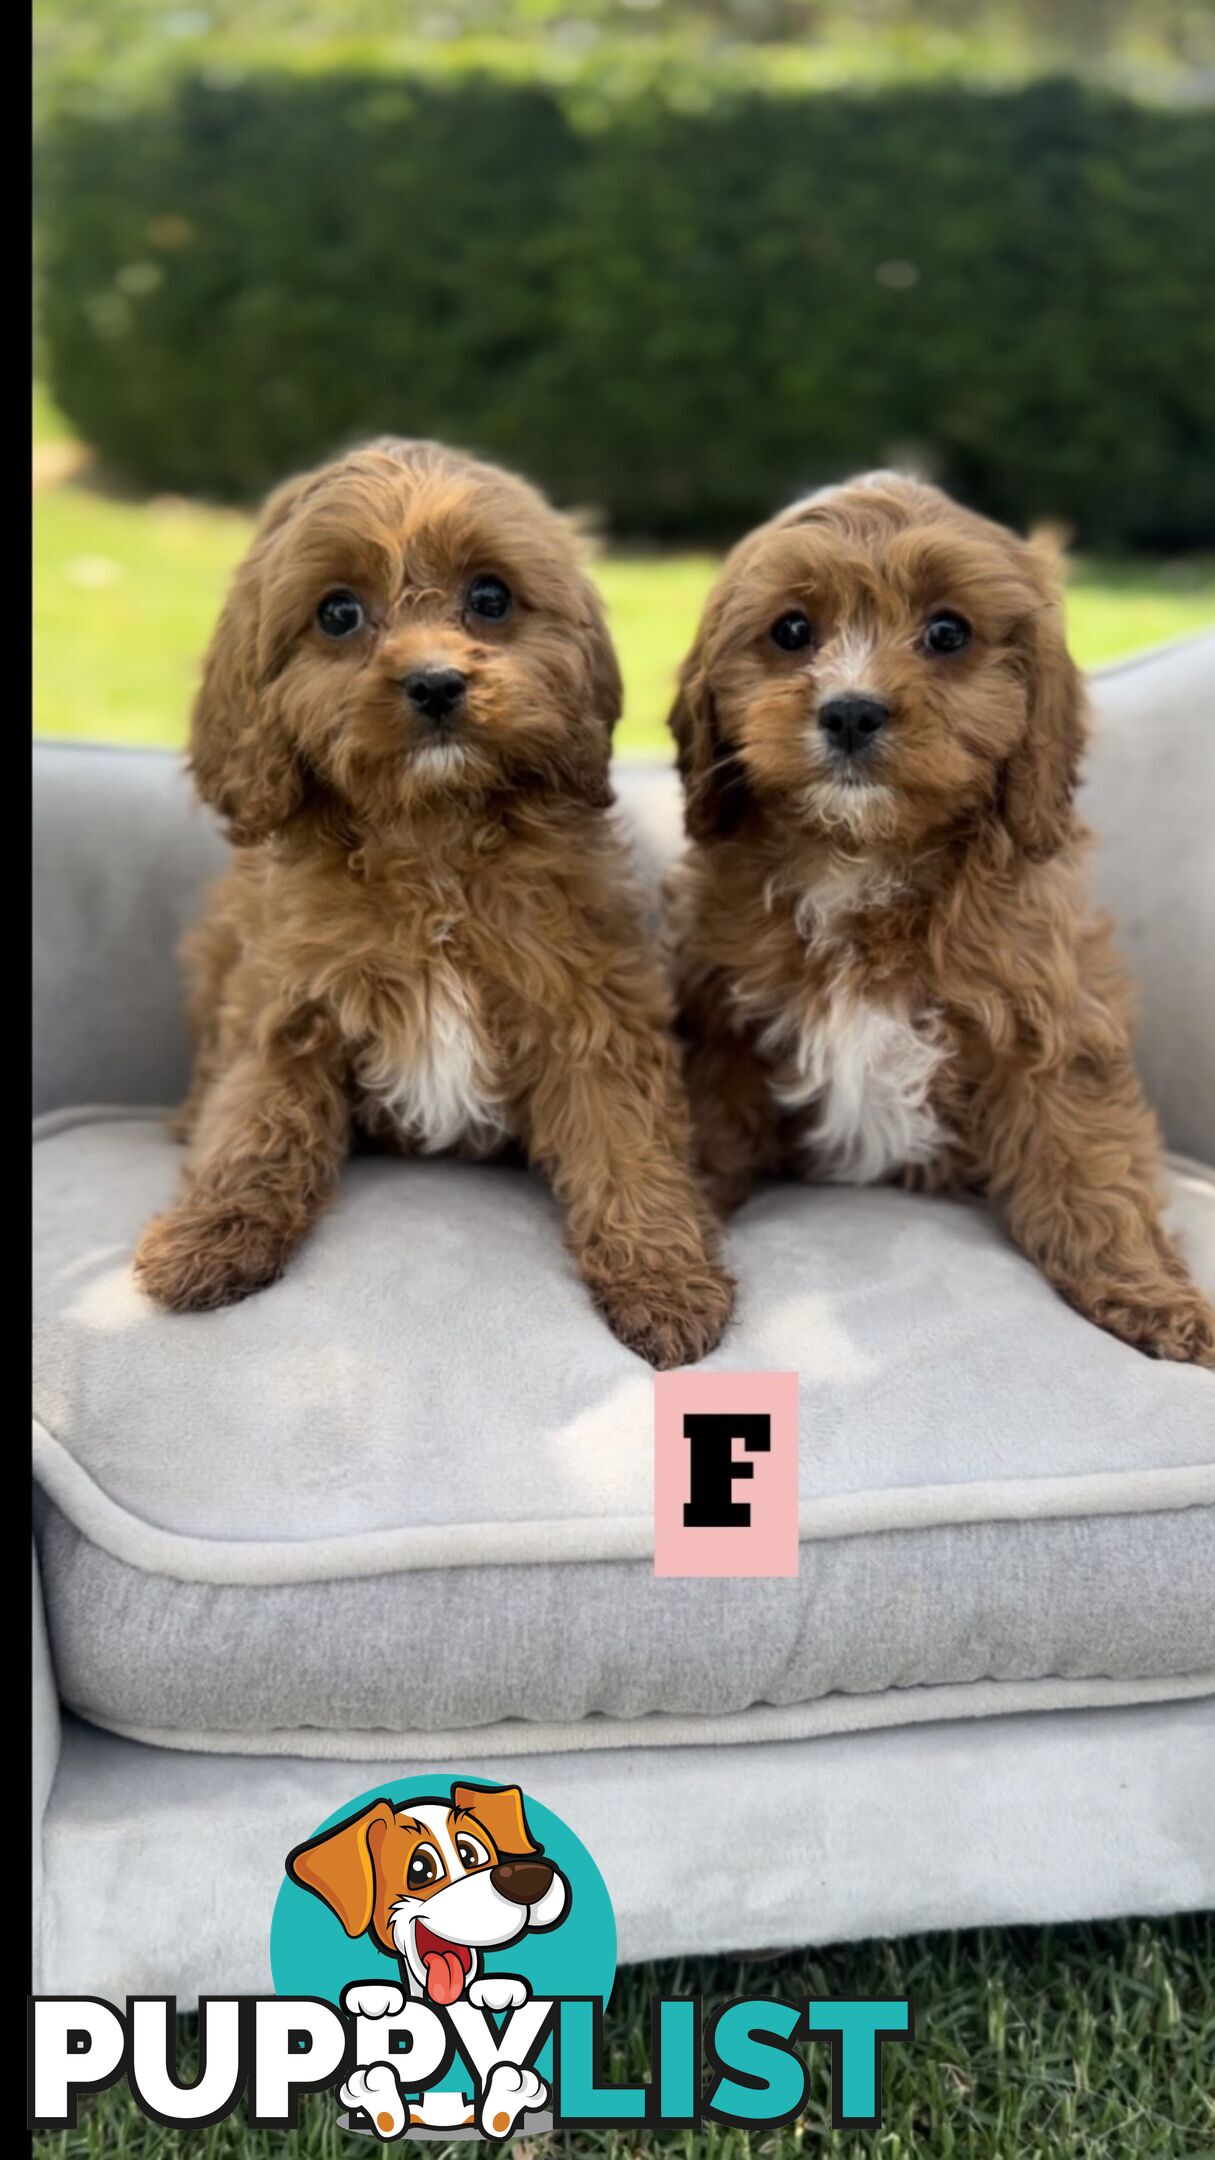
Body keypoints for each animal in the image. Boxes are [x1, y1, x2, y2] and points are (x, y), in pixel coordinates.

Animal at [137, 434, 735, 1365]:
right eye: (338, 614)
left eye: (489, 598)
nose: (435, 683)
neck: (433, 839)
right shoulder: (286, 1003)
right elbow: (257, 1122)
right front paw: (212, 1237)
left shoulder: (587, 1006)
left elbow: (625, 1140)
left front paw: (663, 1280)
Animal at [665, 473, 1202, 1365]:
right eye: (791, 630)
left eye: (948, 633)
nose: (850, 711)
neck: (861, 857)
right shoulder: (721, 1020)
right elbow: (705, 1131)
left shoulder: (1050, 1020)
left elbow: (1089, 1164)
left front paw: (1149, 1296)